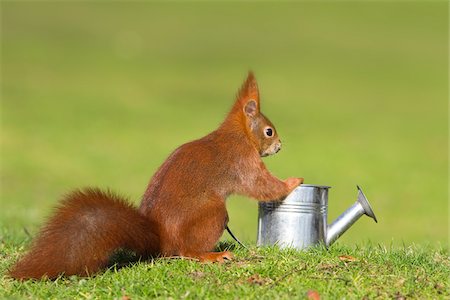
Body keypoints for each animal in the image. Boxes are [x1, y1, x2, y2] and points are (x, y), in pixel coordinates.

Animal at [8, 72, 302, 278]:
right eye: (269, 131)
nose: (279, 145)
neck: (238, 134)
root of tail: (161, 240)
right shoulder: (242, 161)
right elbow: (261, 185)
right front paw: (293, 182)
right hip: (213, 215)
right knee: (185, 251)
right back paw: (210, 256)